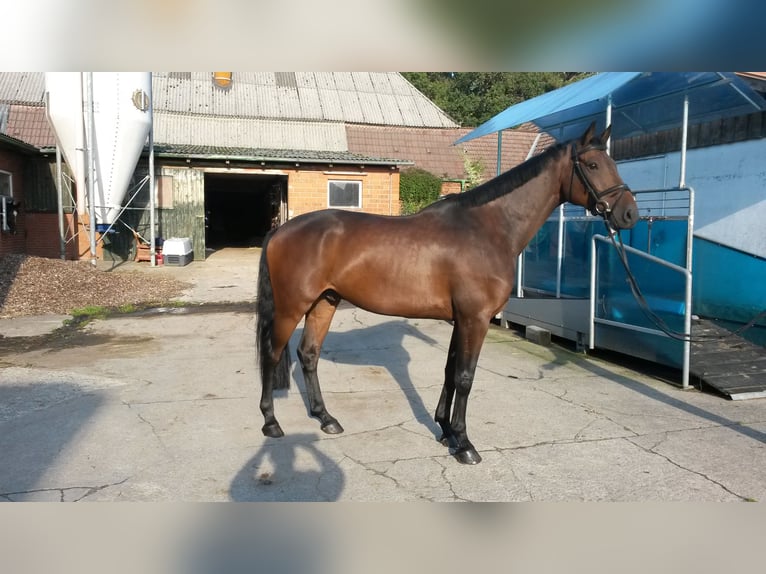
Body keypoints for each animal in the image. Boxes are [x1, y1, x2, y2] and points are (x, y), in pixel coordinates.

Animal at [255, 124, 640, 466]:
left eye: (612, 162)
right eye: (593, 165)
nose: (629, 214)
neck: (488, 228)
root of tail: (280, 231)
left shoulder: (461, 319)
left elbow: (450, 370)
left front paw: (445, 431)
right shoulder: (475, 319)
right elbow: (466, 377)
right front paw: (465, 444)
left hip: (325, 302)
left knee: (308, 354)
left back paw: (326, 418)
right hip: (292, 307)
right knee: (272, 354)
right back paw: (271, 423)